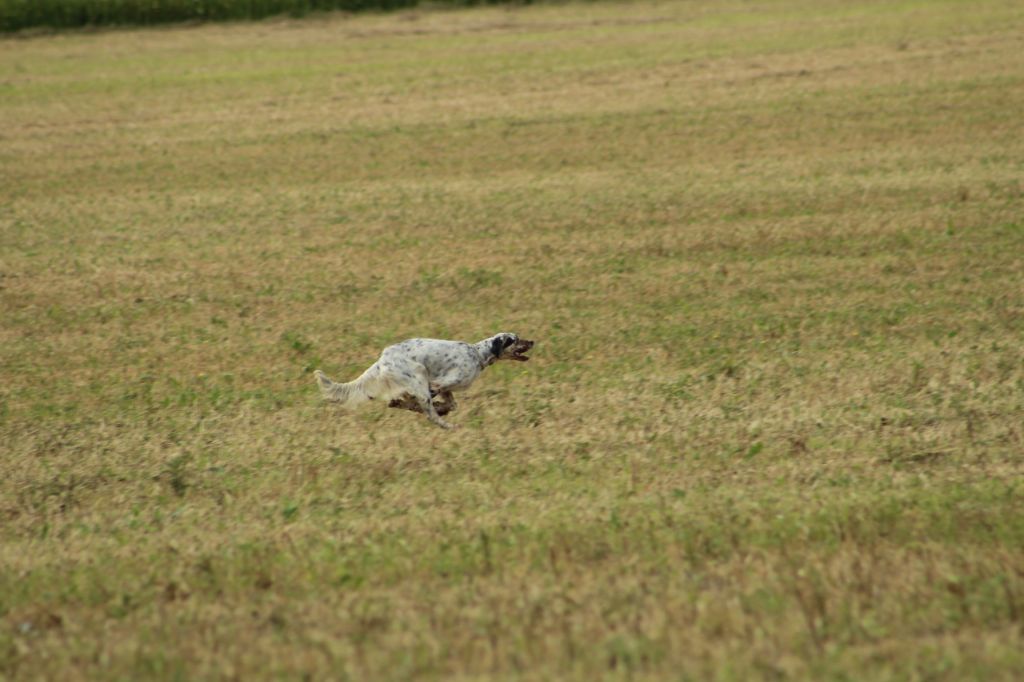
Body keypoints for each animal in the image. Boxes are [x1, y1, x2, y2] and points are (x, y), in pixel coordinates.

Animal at [313, 331, 536, 428]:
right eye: (515, 340)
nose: (532, 341)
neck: (477, 354)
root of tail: (383, 358)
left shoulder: (446, 389)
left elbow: (451, 405)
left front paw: (442, 407)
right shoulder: (438, 384)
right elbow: (428, 405)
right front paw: (438, 410)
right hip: (418, 373)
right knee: (427, 413)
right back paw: (448, 426)